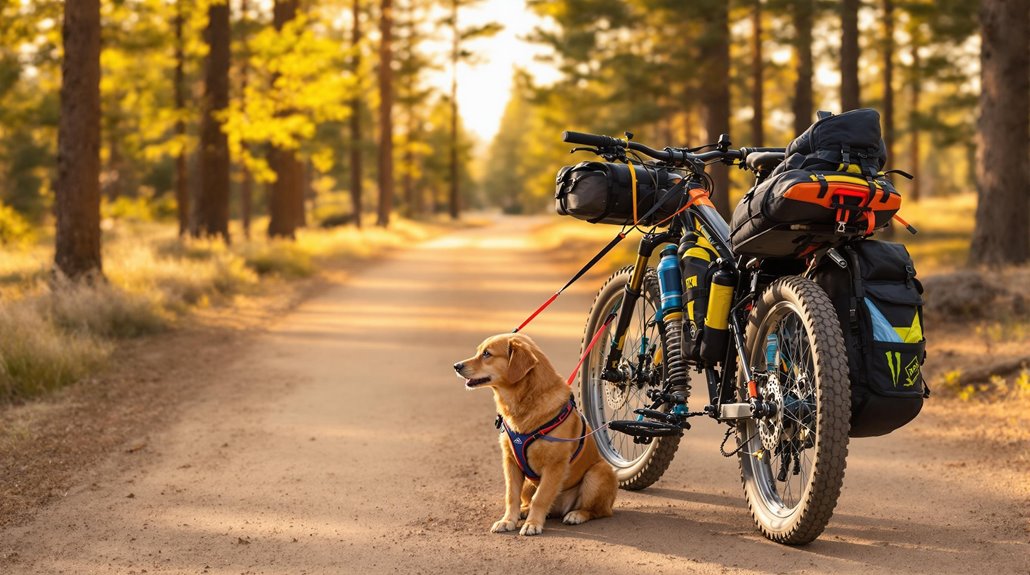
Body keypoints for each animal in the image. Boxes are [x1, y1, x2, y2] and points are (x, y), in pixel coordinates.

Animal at [455, 333, 613, 535]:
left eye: (487, 354)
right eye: (479, 352)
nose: (456, 366)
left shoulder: (554, 465)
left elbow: (541, 497)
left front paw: (533, 523)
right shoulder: (510, 462)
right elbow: (511, 496)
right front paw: (508, 520)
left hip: (598, 473)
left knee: (598, 511)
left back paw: (576, 514)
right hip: (528, 484)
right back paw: (525, 510)